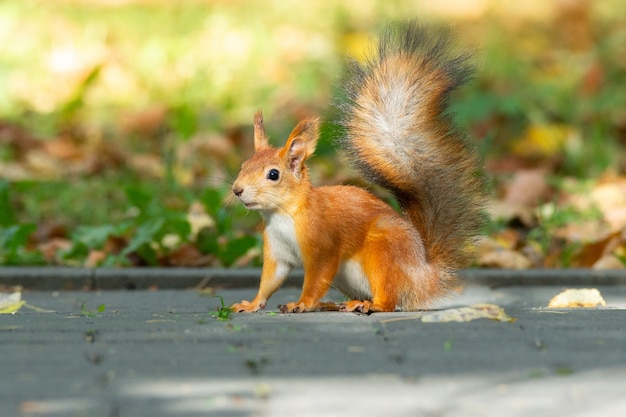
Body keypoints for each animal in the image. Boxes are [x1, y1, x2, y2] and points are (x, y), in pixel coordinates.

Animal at [229, 20, 482, 312]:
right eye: (243, 165)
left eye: (273, 174)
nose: (237, 190)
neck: (282, 214)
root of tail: (424, 277)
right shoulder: (277, 251)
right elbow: (270, 281)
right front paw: (251, 304)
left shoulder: (323, 245)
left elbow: (317, 278)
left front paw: (301, 303)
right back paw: (339, 303)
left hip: (383, 251)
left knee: (389, 298)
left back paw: (371, 305)